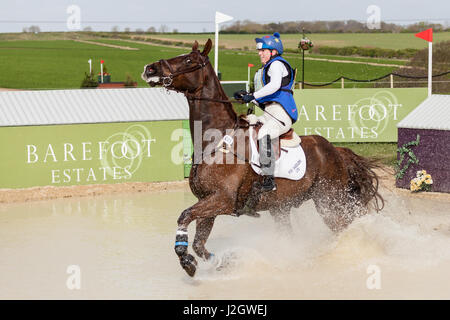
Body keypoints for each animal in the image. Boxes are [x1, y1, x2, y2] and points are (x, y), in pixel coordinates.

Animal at [142, 38, 384, 276]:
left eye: (189, 60)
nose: (149, 69)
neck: (215, 139)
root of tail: (335, 150)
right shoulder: (208, 201)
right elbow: (199, 244)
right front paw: (220, 262)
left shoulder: (222, 200)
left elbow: (184, 216)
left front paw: (185, 259)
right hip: (283, 208)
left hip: (330, 202)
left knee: (346, 225)